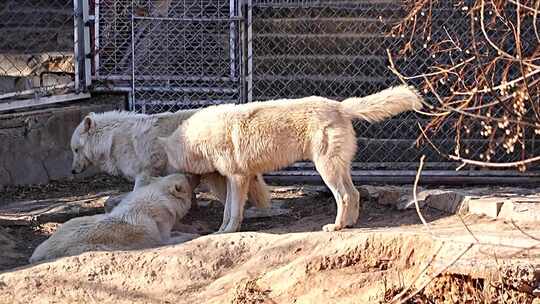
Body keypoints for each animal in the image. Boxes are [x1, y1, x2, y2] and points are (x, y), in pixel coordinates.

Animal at [29, 173, 198, 264]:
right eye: (187, 178)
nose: (194, 175)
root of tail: (37, 254)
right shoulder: (160, 228)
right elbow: (167, 239)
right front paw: (191, 234)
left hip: (70, 224)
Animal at [158, 85, 424, 233]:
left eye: (166, 161)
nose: (162, 177)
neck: (202, 139)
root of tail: (340, 106)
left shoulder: (238, 178)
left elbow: (233, 211)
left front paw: (227, 232)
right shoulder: (236, 180)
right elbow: (227, 211)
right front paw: (221, 231)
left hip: (326, 171)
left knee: (344, 196)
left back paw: (336, 227)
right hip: (339, 169)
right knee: (355, 194)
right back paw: (349, 224)